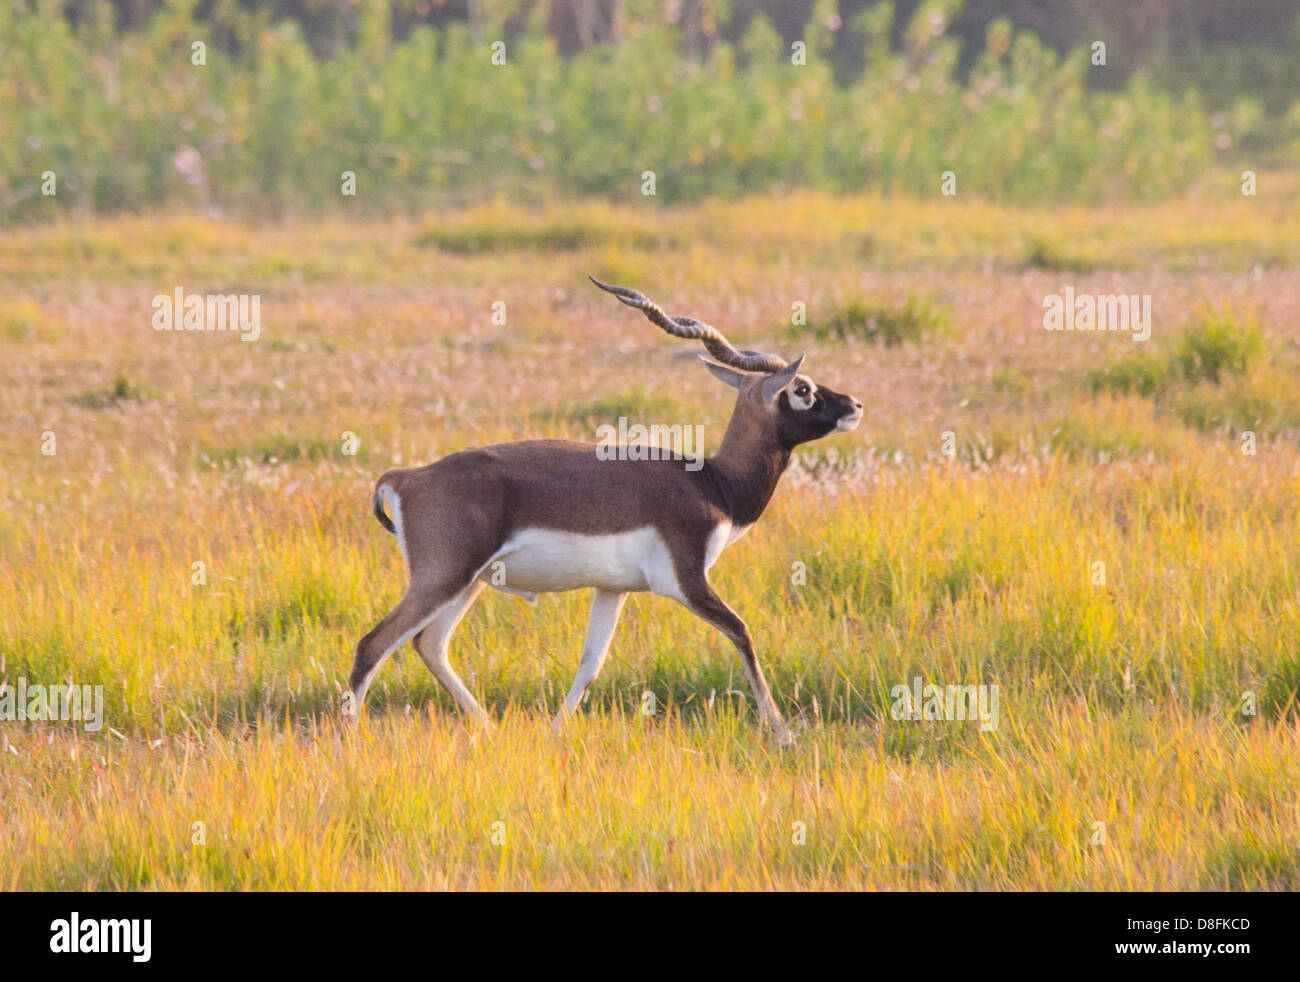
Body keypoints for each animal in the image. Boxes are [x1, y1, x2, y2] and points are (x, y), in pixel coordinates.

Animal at [348, 280, 863, 738]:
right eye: (802, 389)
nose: (854, 405)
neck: (714, 483)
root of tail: (406, 477)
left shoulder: (612, 589)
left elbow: (590, 662)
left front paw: (556, 731)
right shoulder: (688, 583)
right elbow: (742, 631)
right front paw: (784, 733)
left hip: (466, 581)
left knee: (429, 644)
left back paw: (488, 728)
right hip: (443, 577)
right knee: (373, 645)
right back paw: (351, 738)